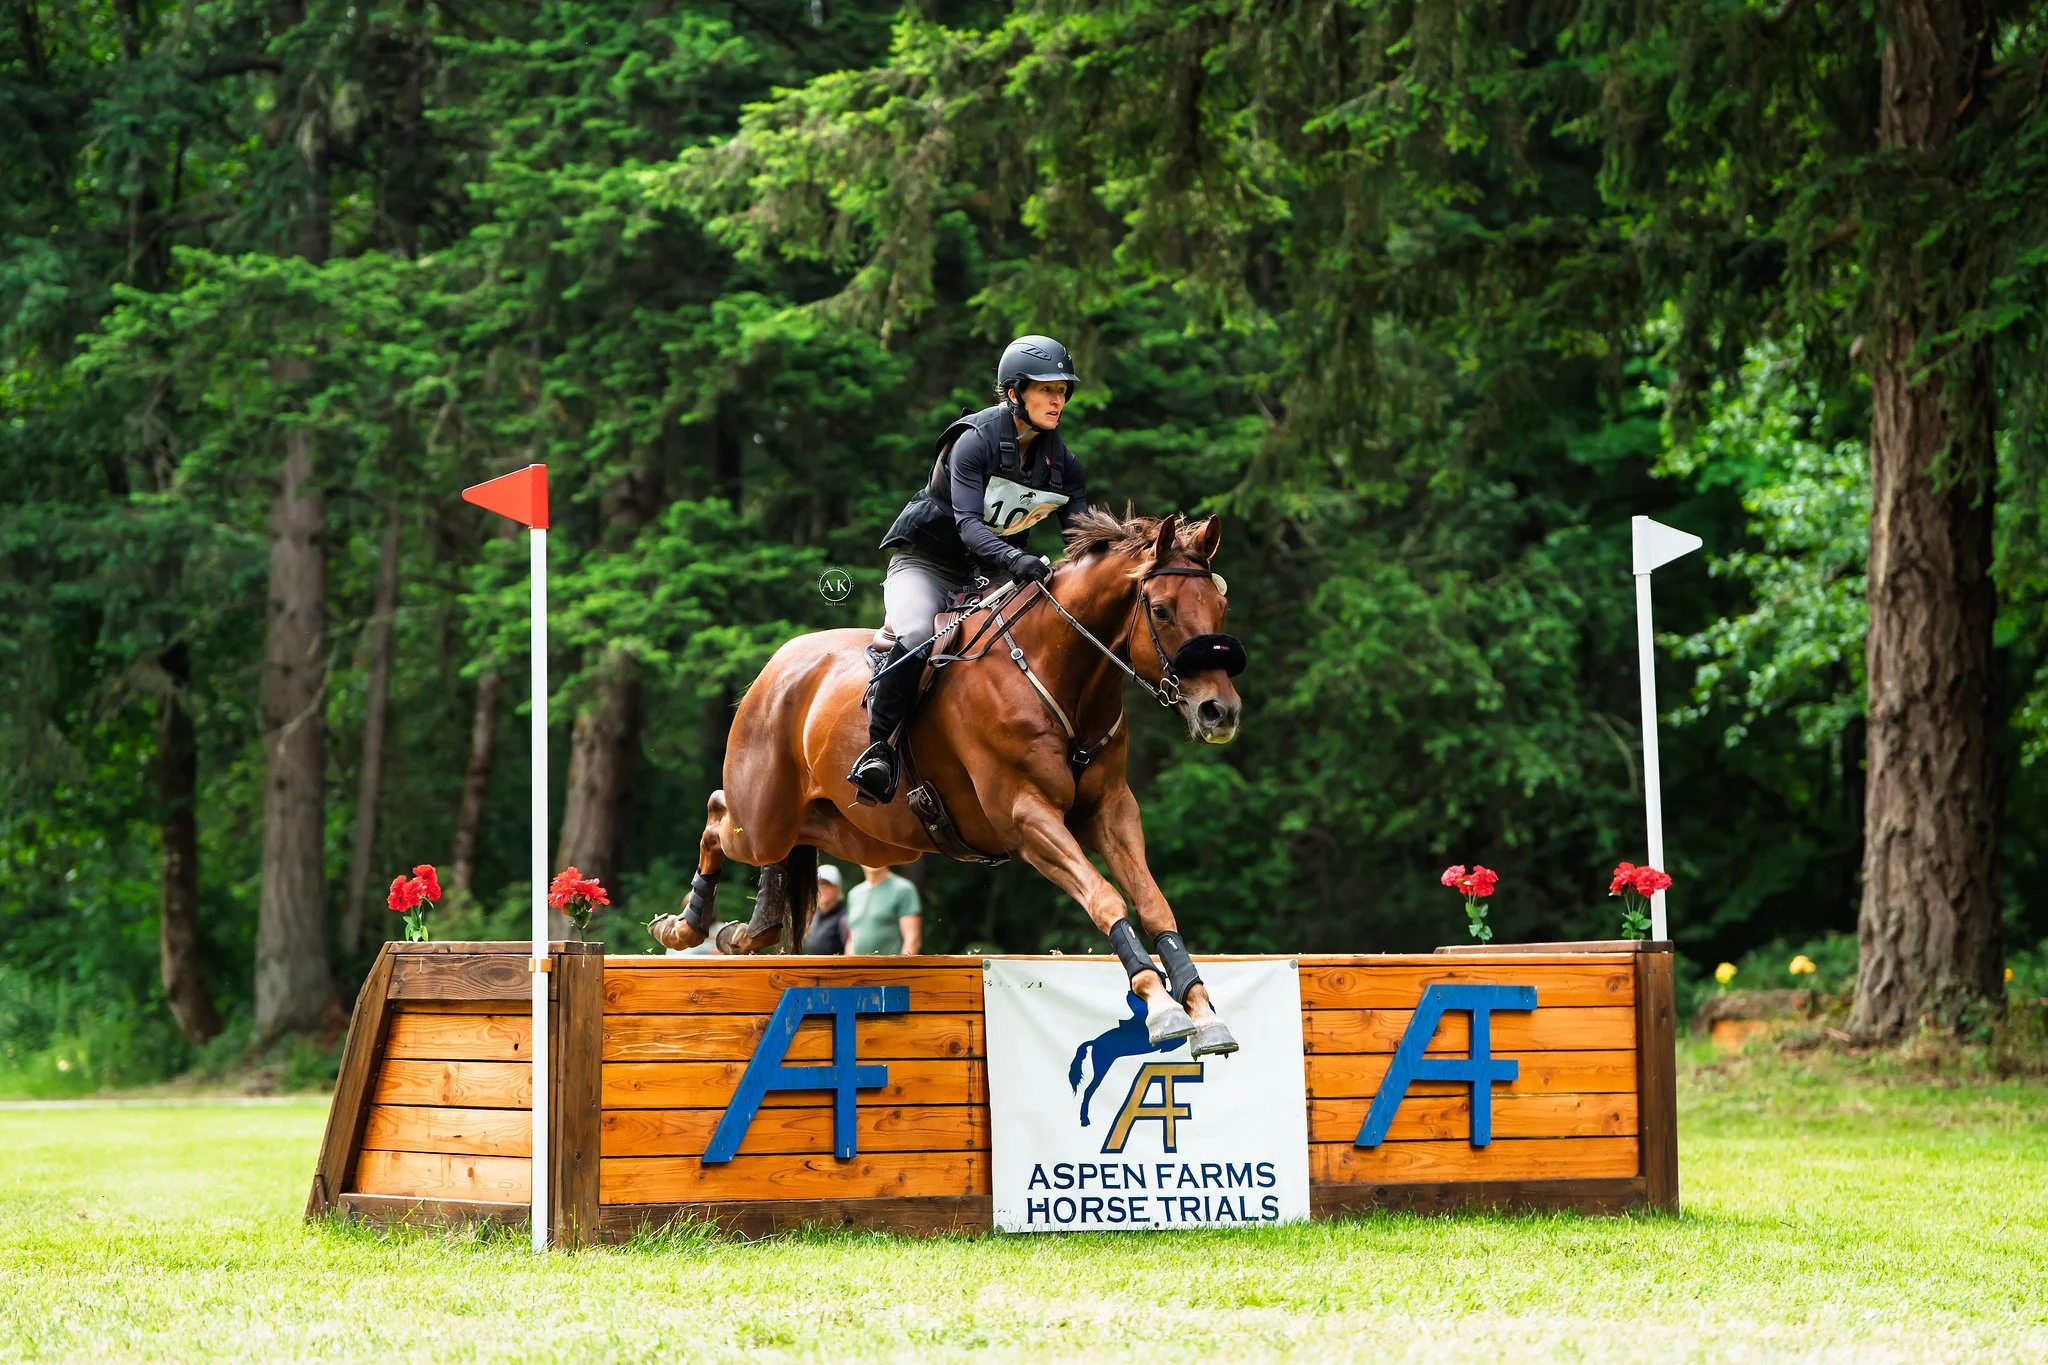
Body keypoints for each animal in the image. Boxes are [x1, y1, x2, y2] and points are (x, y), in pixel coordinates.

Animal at [648, 509, 1247, 1055]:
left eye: (1220, 607)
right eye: (1162, 610)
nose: (1219, 713)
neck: (1056, 672)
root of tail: (777, 666)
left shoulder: (1110, 811)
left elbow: (1153, 902)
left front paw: (1202, 1009)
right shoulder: (1026, 818)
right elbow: (1105, 898)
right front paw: (1161, 1004)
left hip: (863, 833)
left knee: (789, 842)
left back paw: (748, 933)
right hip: (762, 814)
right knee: (719, 815)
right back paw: (684, 927)